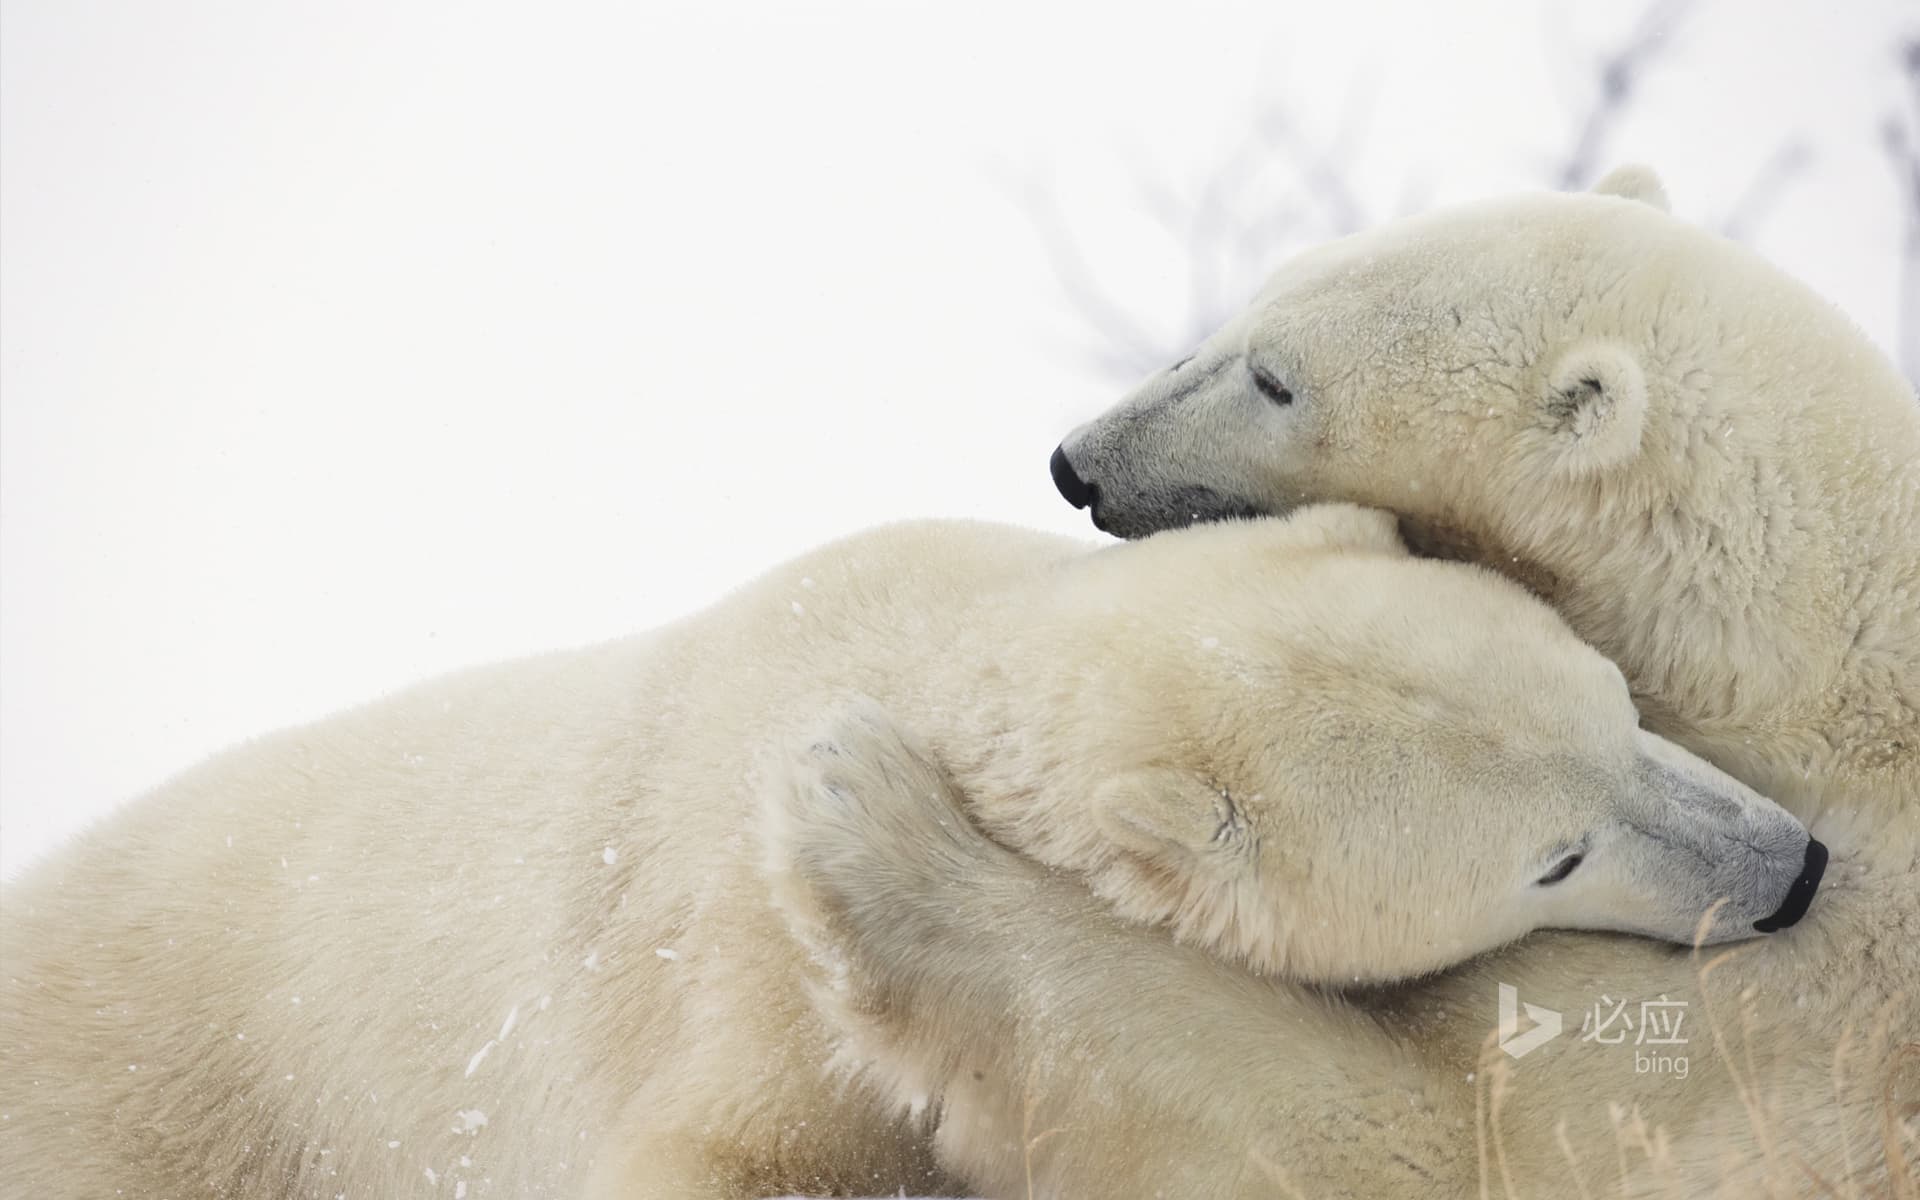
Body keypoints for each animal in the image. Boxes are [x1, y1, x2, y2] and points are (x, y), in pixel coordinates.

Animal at [0, 508, 1818, 1200]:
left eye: (1616, 705)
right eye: (1551, 858)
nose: (1791, 867)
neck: (919, 653)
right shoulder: (746, 971)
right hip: (163, 1106)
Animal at [770, 166, 1920, 1196]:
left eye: (1277, 379)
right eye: (1251, 301)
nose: (1077, 464)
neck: (1818, 671)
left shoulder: (1805, 1022)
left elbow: (1404, 1136)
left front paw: (869, 820)